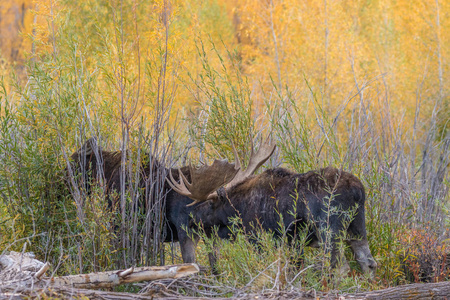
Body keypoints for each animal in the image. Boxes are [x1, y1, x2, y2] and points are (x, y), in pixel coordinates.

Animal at [69, 137, 376, 276]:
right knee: (367, 261)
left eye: (204, 206)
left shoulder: (257, 236)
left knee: (338, 266)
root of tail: (358, 190)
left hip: (329, 231)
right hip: (356, 228)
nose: (191, 215)